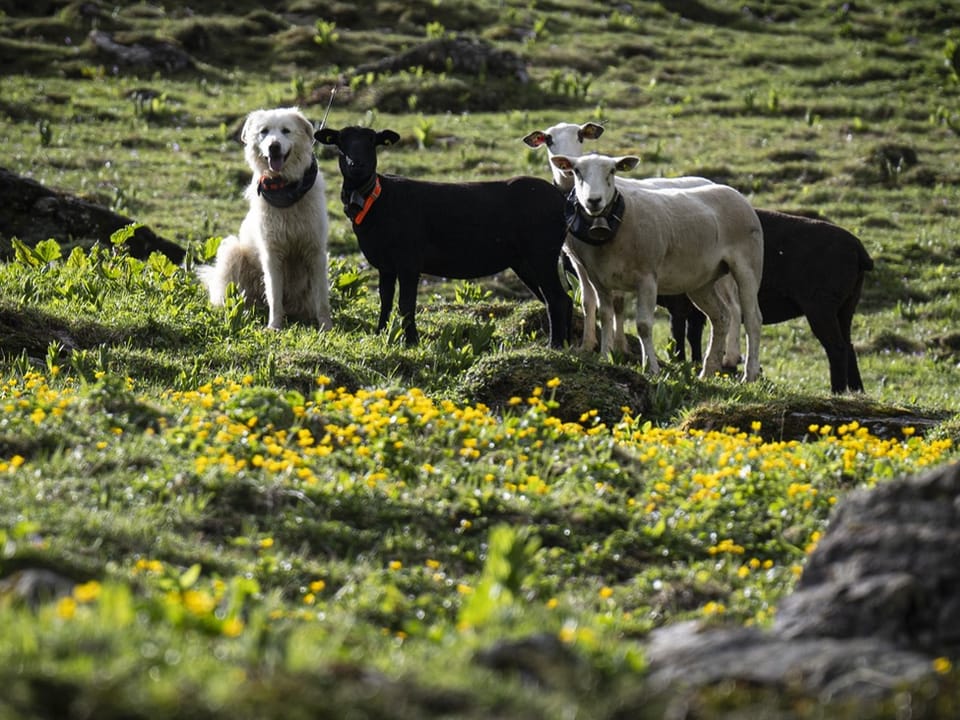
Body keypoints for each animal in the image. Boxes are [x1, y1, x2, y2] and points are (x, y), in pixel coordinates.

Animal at [197, 105, 332, 330]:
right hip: (232, 250)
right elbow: (275, 296)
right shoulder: (272, 253)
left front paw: (326, 327)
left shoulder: (315, 252)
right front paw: (274, 327)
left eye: (286, 131)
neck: (285, 187)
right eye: (264, 132)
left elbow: (322, 298)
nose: (274, 147)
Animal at [316, 126, 568, 346]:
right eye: (341, 143)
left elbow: (406, 304)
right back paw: (566, 344)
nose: (356, 164)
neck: (376, 199)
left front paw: (411, 342)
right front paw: (381, 335)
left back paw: (555, 346)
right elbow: (385, 301)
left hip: (542, 252)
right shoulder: (385, 265)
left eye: (372, 141)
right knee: (557, 299)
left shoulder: (409, 261)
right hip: (525, 261)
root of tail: (561, 198)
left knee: (557, 299)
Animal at [548, 153, 764, 382]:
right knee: (721, 317)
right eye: (577, 171)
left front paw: (651, 368)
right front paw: (605, 357)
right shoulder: (599, 280)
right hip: (702, 280)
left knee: (752, 319)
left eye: (612, 171)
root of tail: (734, 192)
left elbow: (643, 325)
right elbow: (605, 316)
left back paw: (749, 374)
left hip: (748, 266)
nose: (594, 200)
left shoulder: (647, 278)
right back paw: (707, 371)